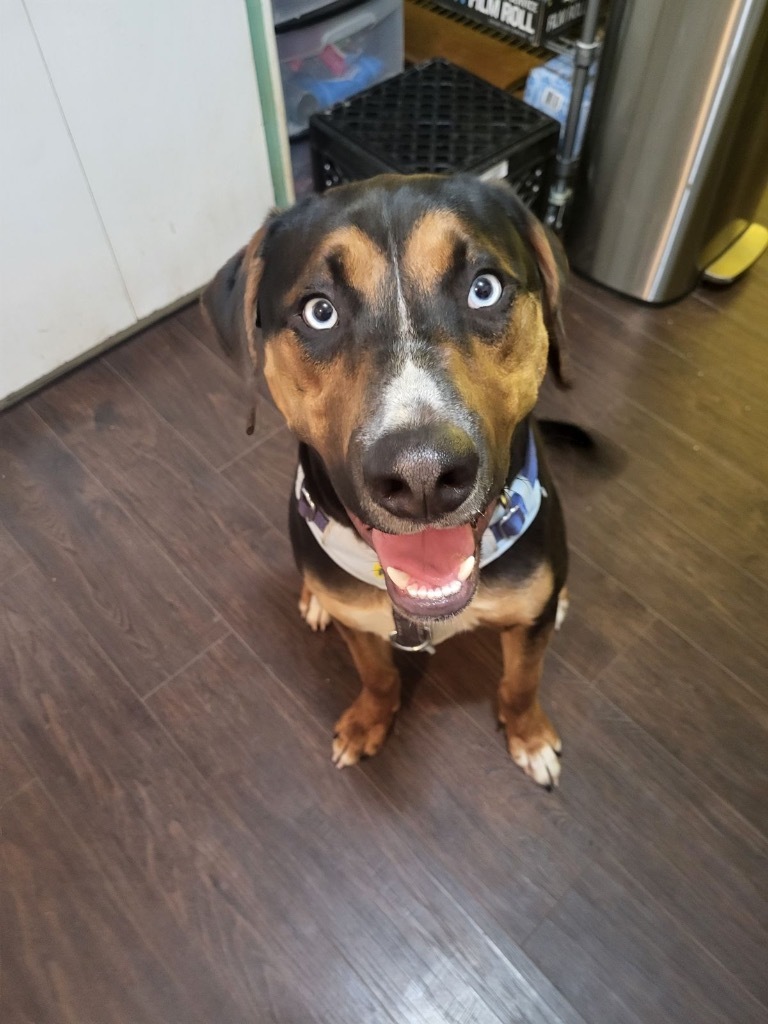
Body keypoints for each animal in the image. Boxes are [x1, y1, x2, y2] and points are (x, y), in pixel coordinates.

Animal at [202, 174, 573, 790]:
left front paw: (529, 736)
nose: (422, 475)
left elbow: (522, 680)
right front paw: (368, 722)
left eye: (485, 288)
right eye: (319, 311)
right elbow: (376, 675)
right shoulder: (361, 626)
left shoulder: (528, 619)